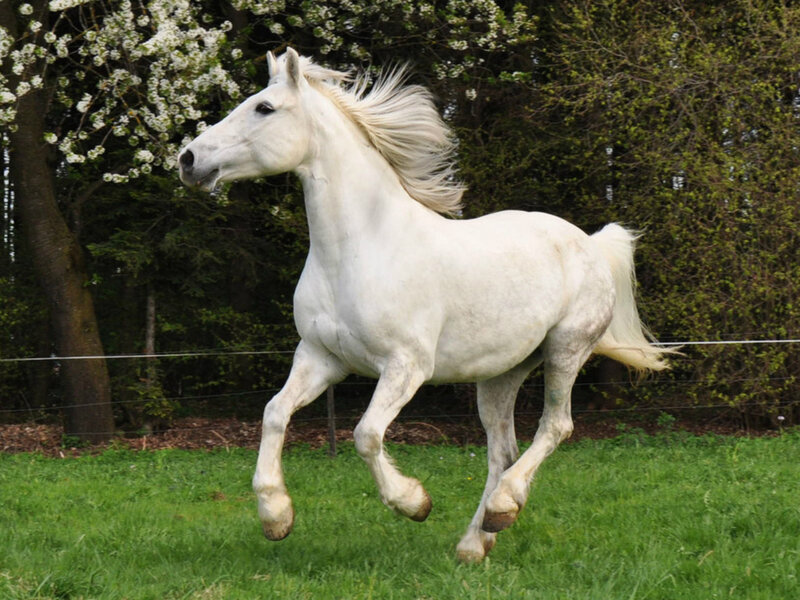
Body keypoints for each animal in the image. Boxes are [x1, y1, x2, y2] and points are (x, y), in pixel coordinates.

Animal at [178, 48, 674, 563]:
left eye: (265, 108)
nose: (188, 159)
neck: (358, 250)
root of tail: (591, 243)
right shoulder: (320, 356)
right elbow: (274, 412)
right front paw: (276, 516)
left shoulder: (406, 365)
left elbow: (366, 434)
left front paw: (414, 503)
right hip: (501, 374)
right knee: (502, 450)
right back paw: (476, 541)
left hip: (566, 351)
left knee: (556, 427)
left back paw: (504, 506)